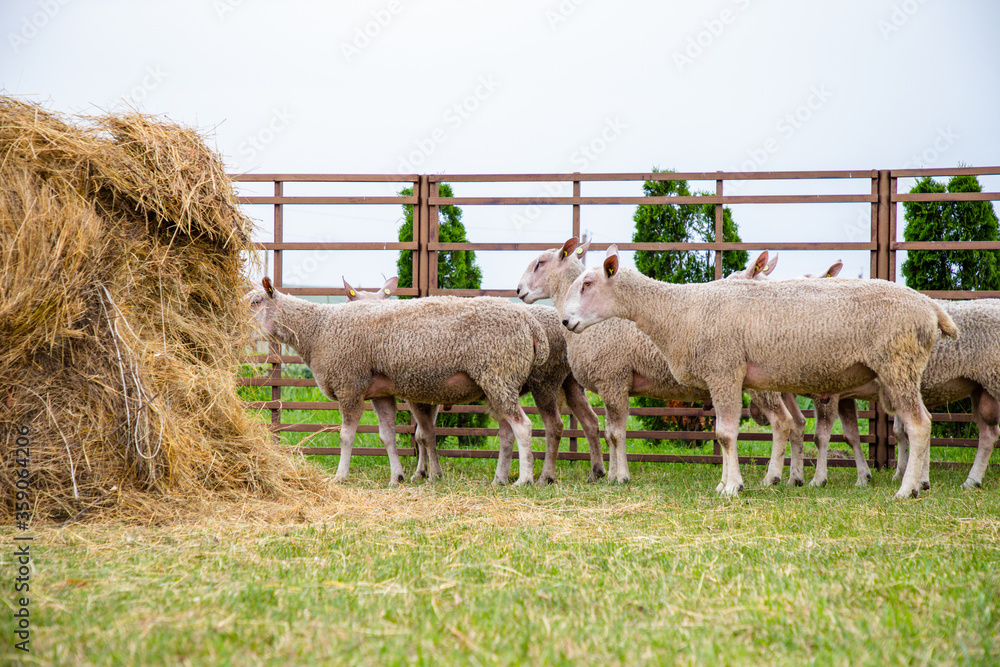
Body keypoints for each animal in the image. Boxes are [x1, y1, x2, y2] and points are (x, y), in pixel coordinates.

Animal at [250, 276, 549, 486]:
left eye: (255, 302)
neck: (318, 329)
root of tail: (529, 322)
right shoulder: (380, 393)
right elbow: (388, 436)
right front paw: (397, 477)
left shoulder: (350, 385)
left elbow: (346, 436)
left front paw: (340, 476)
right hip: (500, 382)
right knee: (506, 433)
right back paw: (500, 479)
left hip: (499, 373)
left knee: (523, 427)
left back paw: (524, 479)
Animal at [343, 275, 608, 484]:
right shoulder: (430, 394)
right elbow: (423, 434)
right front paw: (422, 471)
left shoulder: (416, 395)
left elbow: (424, 435)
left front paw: (430, 474)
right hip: (569, 381)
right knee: (590, 421)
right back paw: (596, 472)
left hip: (544, 380)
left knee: (553, 426)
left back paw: (544, 477)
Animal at [517, 239, 801, 488]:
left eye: (540, 262)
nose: (519, 291)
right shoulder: (612, 384)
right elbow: (609, 434)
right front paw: (611, 476)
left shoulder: (613, 379)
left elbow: (617, 434)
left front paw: (621, 477)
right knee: (796, 423)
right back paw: (794, 478)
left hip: (760, 384)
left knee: (781, 422)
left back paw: (772, 477)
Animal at [560, 245, 958, 499]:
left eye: (588, 284)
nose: (565, 321)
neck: (680, 310)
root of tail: (930, 307)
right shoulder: (723, 375)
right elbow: (724, 433)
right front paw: (727, 483)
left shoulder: (724, 370)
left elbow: (724, 434)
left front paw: (731, 487)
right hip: (905, 369)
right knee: (921, 422)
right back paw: (918, 483)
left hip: (898, 363)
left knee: (919, 425)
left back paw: (906, 489)